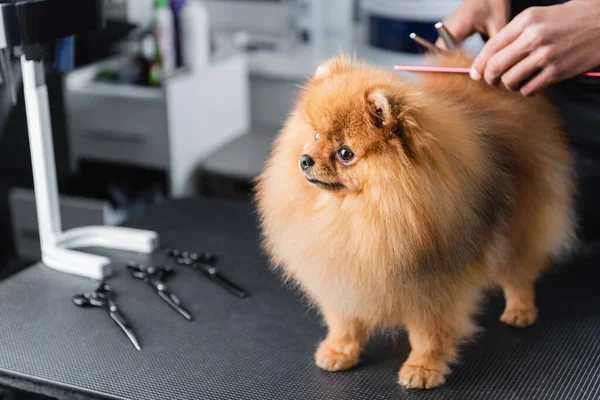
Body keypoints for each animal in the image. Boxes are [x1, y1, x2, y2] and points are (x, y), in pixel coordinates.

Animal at [254, 49, 576, 388]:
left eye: (345, 153)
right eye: (315, 134)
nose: (304, 159)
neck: (359, 214)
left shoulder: (433, 286)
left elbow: (428, 334)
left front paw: (423, 368)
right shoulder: (344, 276)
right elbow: (345, 321)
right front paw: (339, 351)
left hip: (520, 226)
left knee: (519, 273)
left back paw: (520, 309)